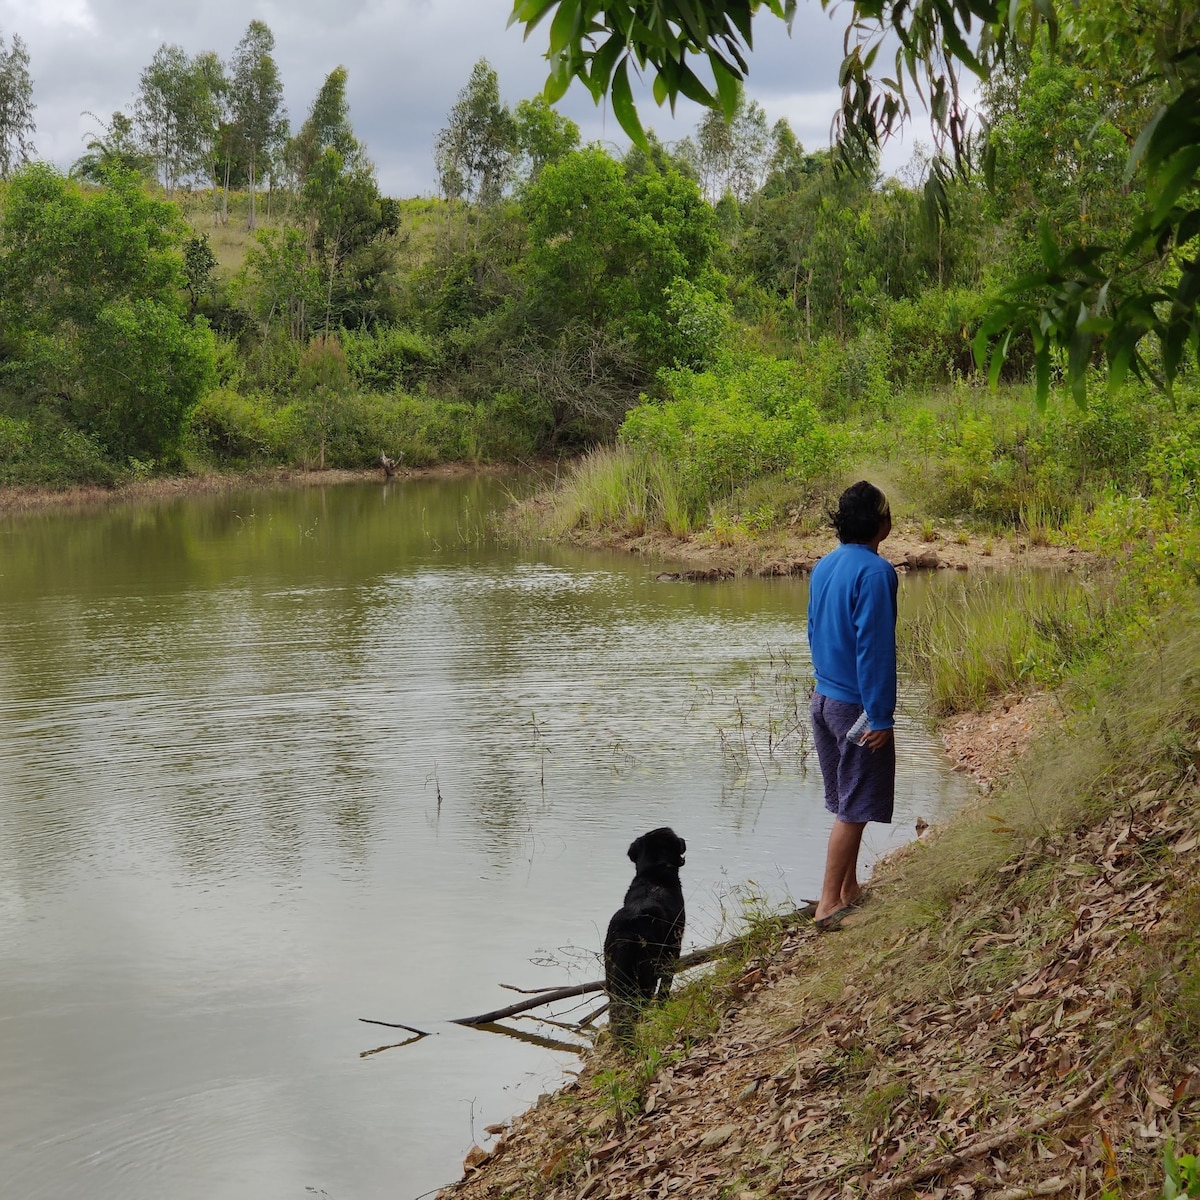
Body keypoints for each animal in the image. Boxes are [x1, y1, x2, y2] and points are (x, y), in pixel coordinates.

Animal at [600, 825, 686, 1041]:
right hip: (645, 972)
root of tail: (627, 929)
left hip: (612, 974)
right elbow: (665, 985)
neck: (653, 875)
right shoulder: (674, 948)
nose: (683, 840)